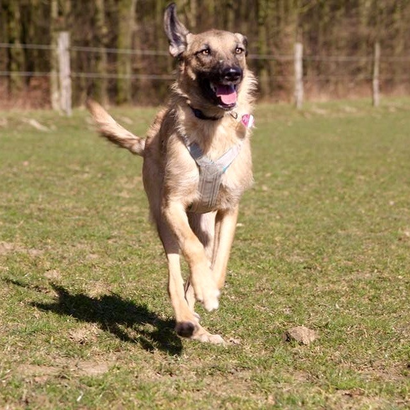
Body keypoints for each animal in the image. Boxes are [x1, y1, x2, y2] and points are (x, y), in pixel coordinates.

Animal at [87, 2, 256, 342]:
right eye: (205, 51)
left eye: (238, 50)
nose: (233, 74)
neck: (211, 123)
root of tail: (148, 138)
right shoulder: (172, 205)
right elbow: (190, 252)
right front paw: (206, 293)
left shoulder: (229, 209)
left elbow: (219, 263)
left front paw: (209, 288)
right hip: (164, 219)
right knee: (175, 273)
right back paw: (185, 319)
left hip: (204, 223)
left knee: (199, 260)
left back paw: (198, 322)